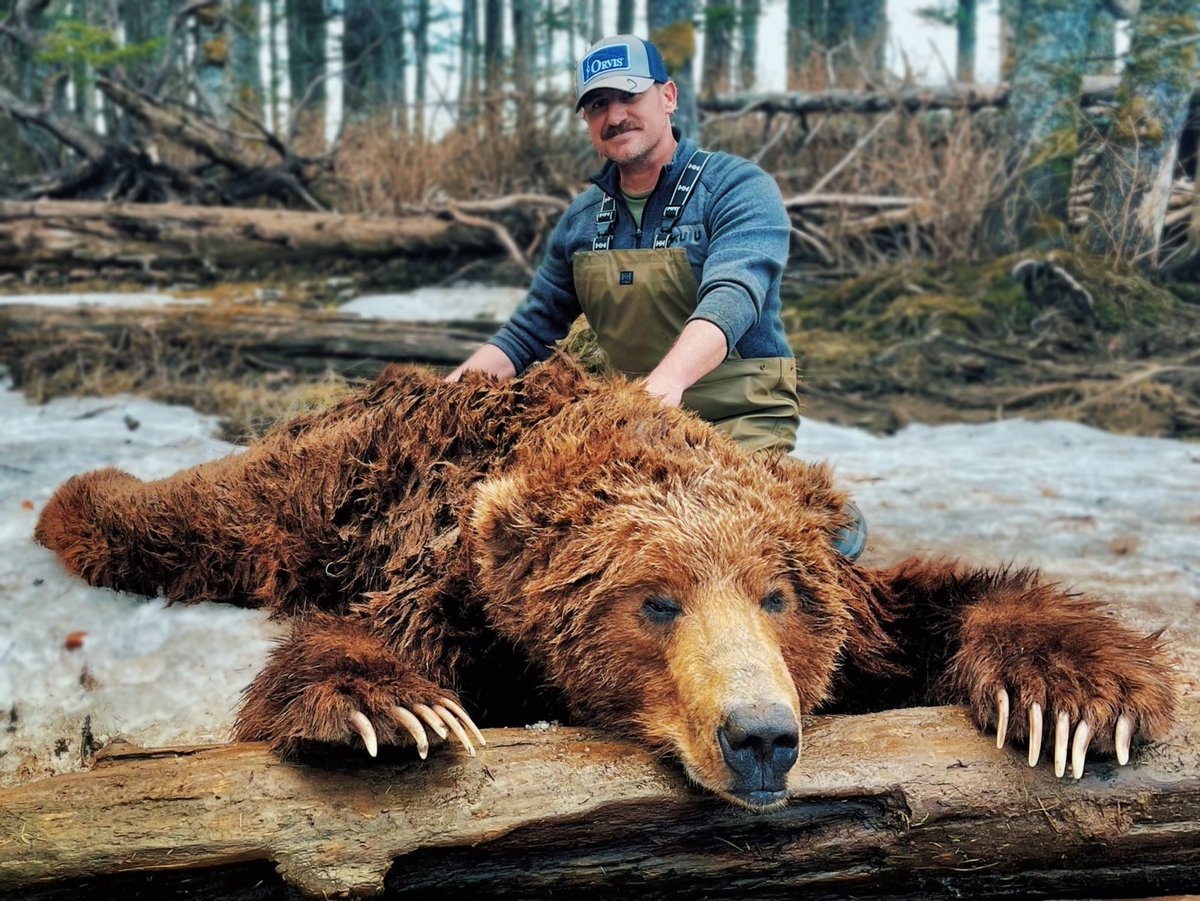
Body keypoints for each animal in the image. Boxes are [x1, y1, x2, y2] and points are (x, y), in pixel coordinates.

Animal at [33, 357, 1177, 811]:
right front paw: (386, 708)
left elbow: (944, 597)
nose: (762, 736)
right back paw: (71, 498)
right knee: (191, 513)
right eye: (654, 599)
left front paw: (1078, 695)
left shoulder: (866, 611)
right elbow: (383, 648)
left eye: (778, 595)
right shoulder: (453, 587)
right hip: (315, 486)